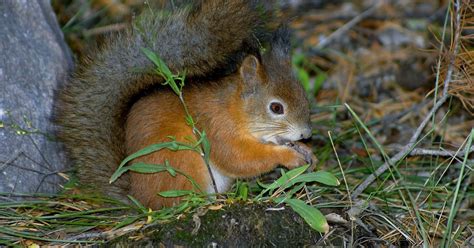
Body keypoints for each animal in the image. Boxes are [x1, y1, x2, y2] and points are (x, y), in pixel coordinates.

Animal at [55, 0, 314, 209]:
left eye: (304, 95)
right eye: (276, 108)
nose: (306, 133)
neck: (234, 110)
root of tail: (141, 201)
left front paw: (305, 151)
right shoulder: (216, 129)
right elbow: (239, 159)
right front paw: (288, 157)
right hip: (180, 159)